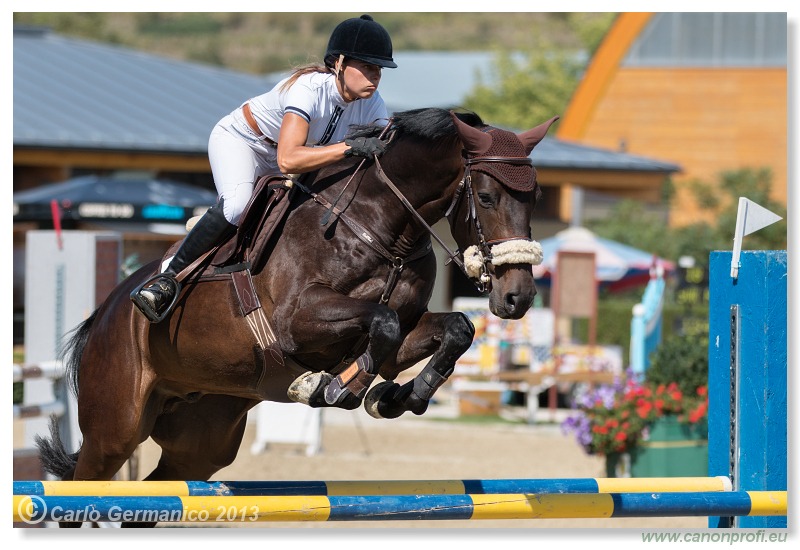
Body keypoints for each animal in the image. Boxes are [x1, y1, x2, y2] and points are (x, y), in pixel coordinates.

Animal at [32, 111, 556, 516]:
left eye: (534, 199)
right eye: (486, 197)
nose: (518, 297)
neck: (381, 228)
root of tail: (105, 313)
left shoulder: (400, 332)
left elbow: (454, 329)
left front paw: (396, 397)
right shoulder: (296, 323)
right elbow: (381, 325)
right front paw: (335, 388)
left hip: (201, 438)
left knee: (158, 492)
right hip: (115, 429)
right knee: (85, 484)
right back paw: (157, 294)